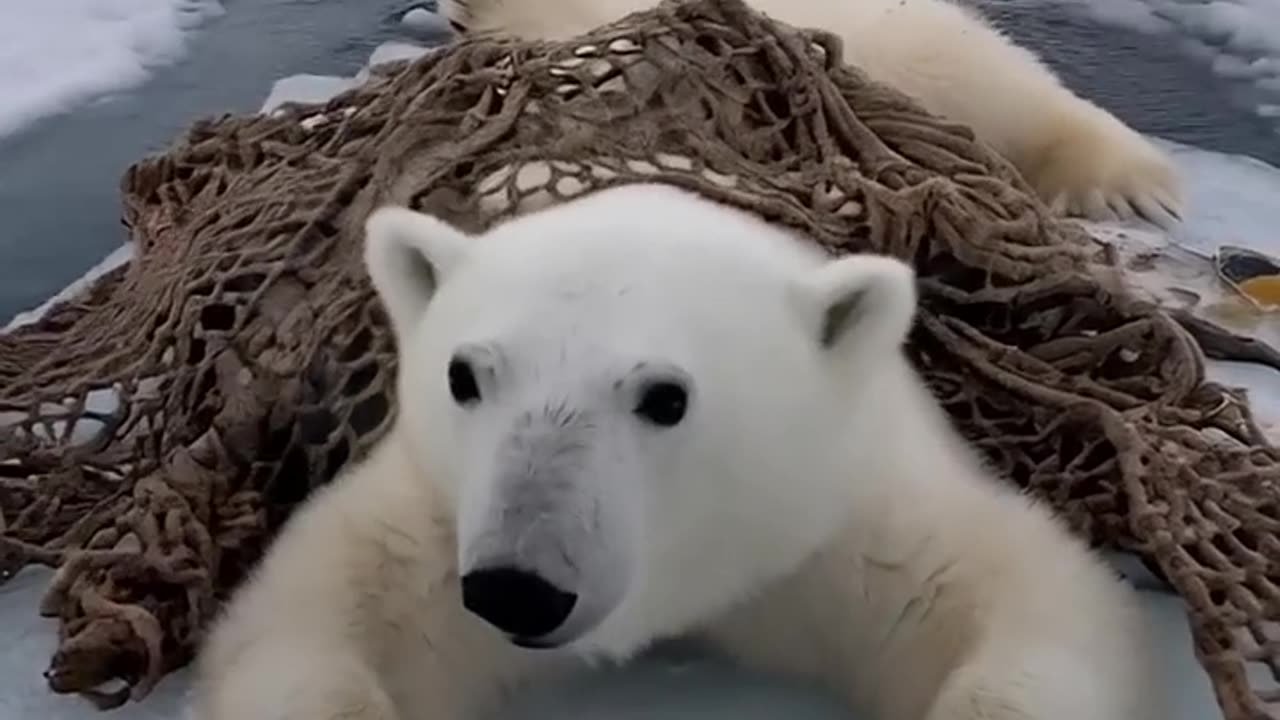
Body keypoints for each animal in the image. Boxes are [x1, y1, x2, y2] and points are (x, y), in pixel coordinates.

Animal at [192, 180, 1162, 717]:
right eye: (465, 376)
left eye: (665, 397)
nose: (517, 587)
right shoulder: (433, 533)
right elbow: (323, 610)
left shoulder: (844, 529)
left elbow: (1021, 597)